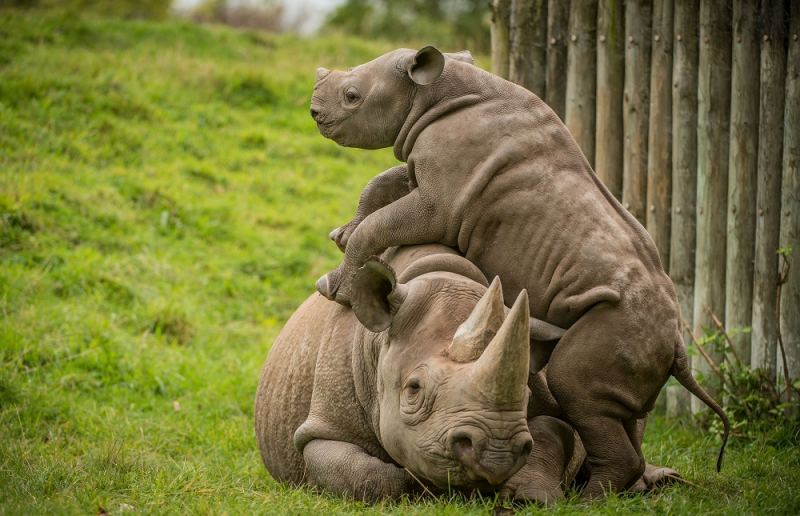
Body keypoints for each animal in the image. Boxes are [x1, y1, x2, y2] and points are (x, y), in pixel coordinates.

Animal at [309, 46, 729, 497]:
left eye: (352, 96)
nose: (314, 112)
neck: (431, 94)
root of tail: (678, 344)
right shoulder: (433, 179)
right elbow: (380, 185)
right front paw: (340, 238)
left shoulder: (443, 202)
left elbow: (382, 223)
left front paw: (338, 290)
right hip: (643, 335)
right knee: (623, 409)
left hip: (625, 322)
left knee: (572, 380)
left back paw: (587, 500)